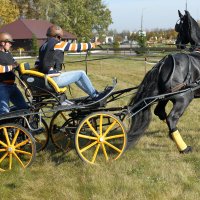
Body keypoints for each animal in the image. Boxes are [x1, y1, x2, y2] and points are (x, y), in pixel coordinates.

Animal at [128, 10, 200, 153]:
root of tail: (163, 63)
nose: (177, 43)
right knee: (171, 118)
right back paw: (184, 148)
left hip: (164, 96)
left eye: (181, 27)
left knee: (160, 112)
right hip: (184, 98)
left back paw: (172, 136)